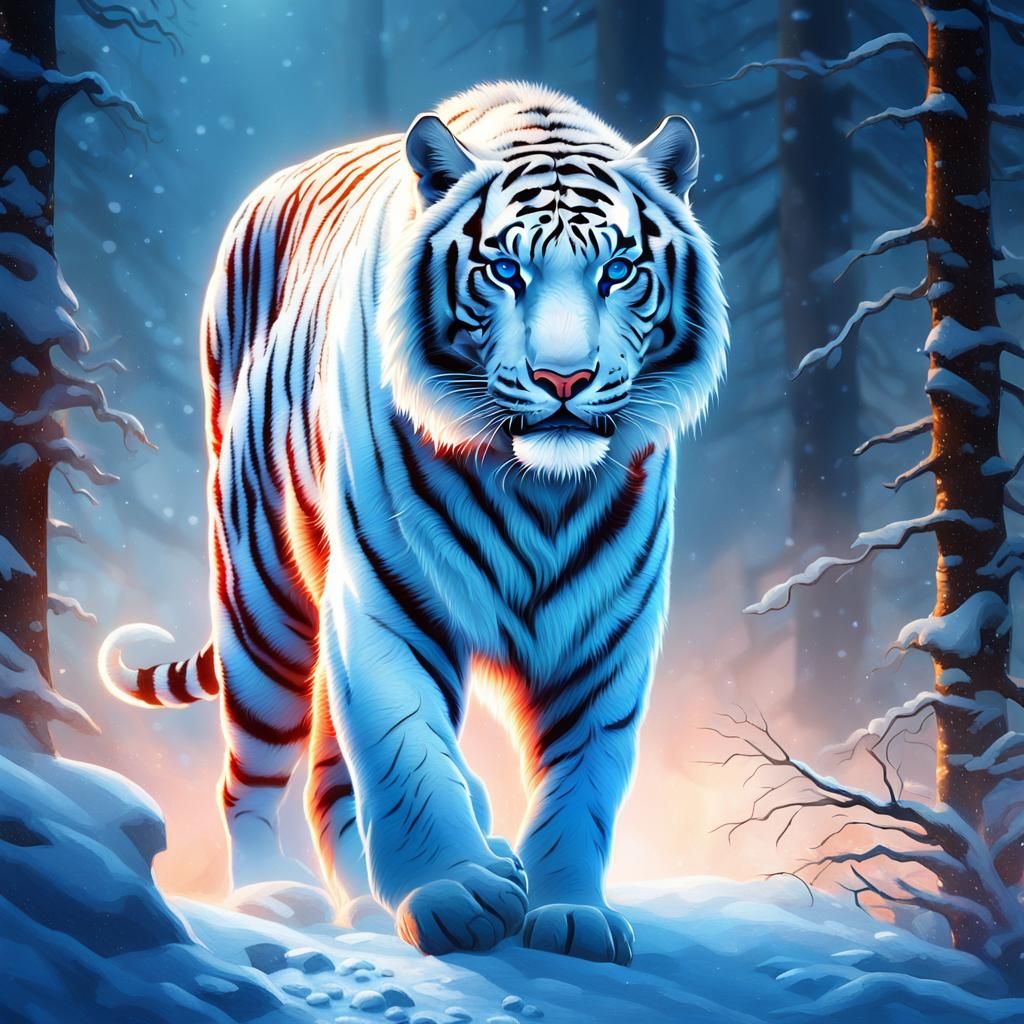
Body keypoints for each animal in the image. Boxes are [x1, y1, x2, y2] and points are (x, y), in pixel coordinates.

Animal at [99, 82, 728, 964]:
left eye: (617, 271)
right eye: (504, 270)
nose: (563, 379)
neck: (538, 488)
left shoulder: (607, 629)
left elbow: (584, 775)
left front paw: (570, 912)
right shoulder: (388, 598)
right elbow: (406, 749)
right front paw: (450, 896)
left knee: (329, 774)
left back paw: (375, 899)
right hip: (264, 599)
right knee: (253, 769)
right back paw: (274, 891)